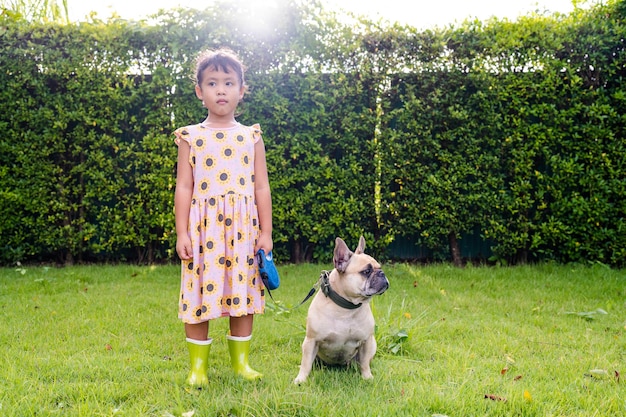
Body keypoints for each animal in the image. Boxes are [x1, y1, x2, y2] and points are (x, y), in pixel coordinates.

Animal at [292, 237, 386, 384]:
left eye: (380, 268)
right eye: (366, 271)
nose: (382, 273)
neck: (347, 307)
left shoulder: (366, 341)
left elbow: (365, 363)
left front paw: (367, 377)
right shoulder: (311, 341)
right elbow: (306, 363)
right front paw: (301, 379)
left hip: (372, 344)